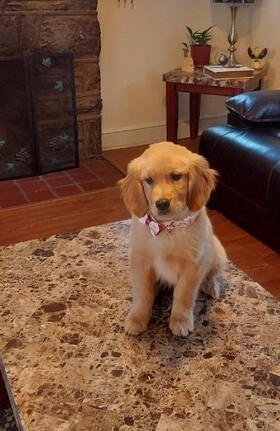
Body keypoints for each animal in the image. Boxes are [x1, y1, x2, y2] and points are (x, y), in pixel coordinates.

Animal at [117, 142, 226, 338]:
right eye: (149, 180)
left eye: (176, 176)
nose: (161, 204)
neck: (168, 227)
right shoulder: (140, 261)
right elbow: (142, 293)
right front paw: (137, 318)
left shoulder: (193, 266)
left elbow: (184, 296)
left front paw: (180, 321)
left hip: (219, 254)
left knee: (211, 275)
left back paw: (211, 287)